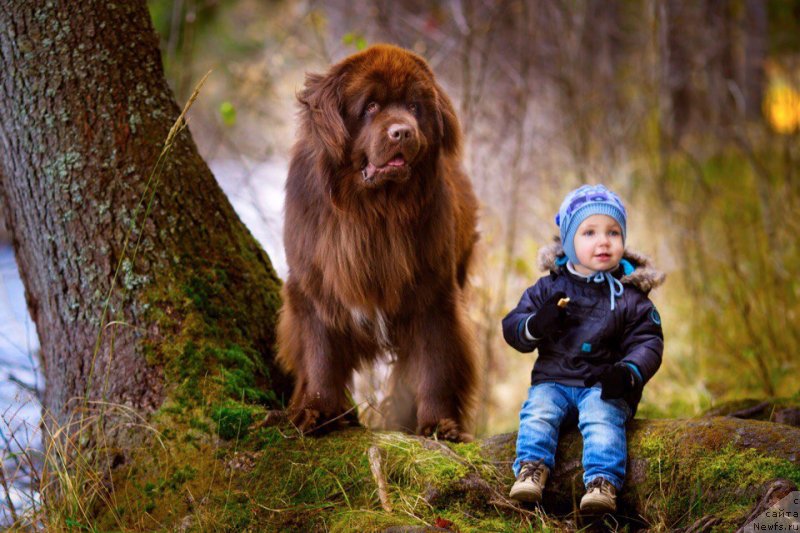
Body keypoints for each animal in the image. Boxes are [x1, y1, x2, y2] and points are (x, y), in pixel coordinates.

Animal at [278, 43, 478, 440]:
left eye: (414, 107)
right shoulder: (313, 285)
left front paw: (438, 425)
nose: (403, 132)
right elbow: (319, 355)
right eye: (370, 106)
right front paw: (315, 411)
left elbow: (435, 362)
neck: (372, 212)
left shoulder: (434, 292)